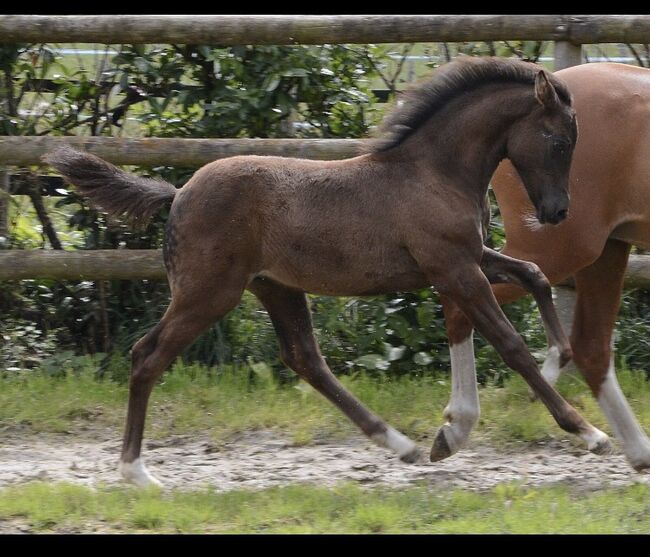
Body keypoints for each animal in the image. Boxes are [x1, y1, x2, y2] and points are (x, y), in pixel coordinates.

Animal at [45, 56, 608, 486]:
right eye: (560, 141)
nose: (557, 211)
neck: (434, 172)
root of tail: (178, 192)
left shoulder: (468, 259)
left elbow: (533, 273)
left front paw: (555, 360)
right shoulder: (454, 267)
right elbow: (511, 345)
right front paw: (589, 432)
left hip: (275, 288)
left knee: (305, 358)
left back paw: (401, 445)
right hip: (209, 292)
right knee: (147, 356)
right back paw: (136, 472)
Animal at [438, 62, 648, 470]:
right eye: (560, 145)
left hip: (605, 251)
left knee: (591, 347)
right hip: (563, 249)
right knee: (461, 305)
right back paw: (457, 426)